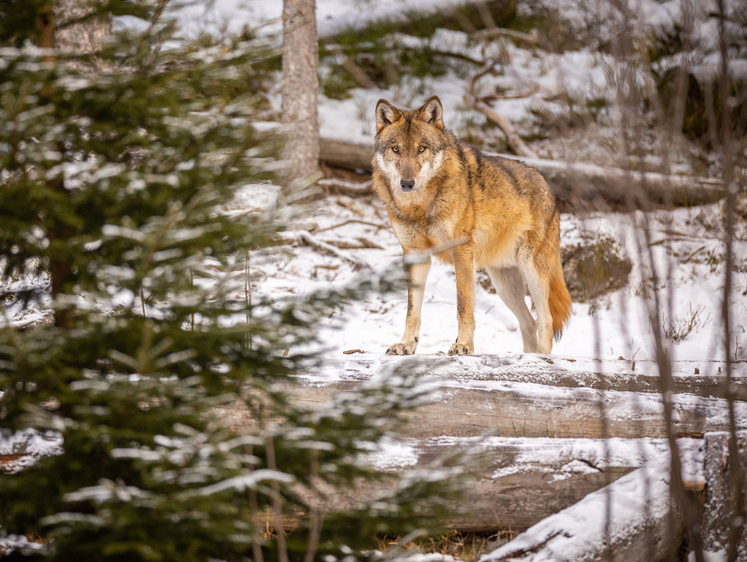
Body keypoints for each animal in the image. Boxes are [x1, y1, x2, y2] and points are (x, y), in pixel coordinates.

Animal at [374, 94, 572, 352]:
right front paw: (406, 345)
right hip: (505, 285)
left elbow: (463, 306)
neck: (419, 207)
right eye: (396, 149)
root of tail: (547, 187)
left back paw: (541, 359)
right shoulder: (415, 253)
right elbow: (412, 311)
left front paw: (464, 346)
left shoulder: (462, 252)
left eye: (421, 148)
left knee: (546, 320)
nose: (407, 183)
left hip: (532, 270)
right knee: (529, 322)